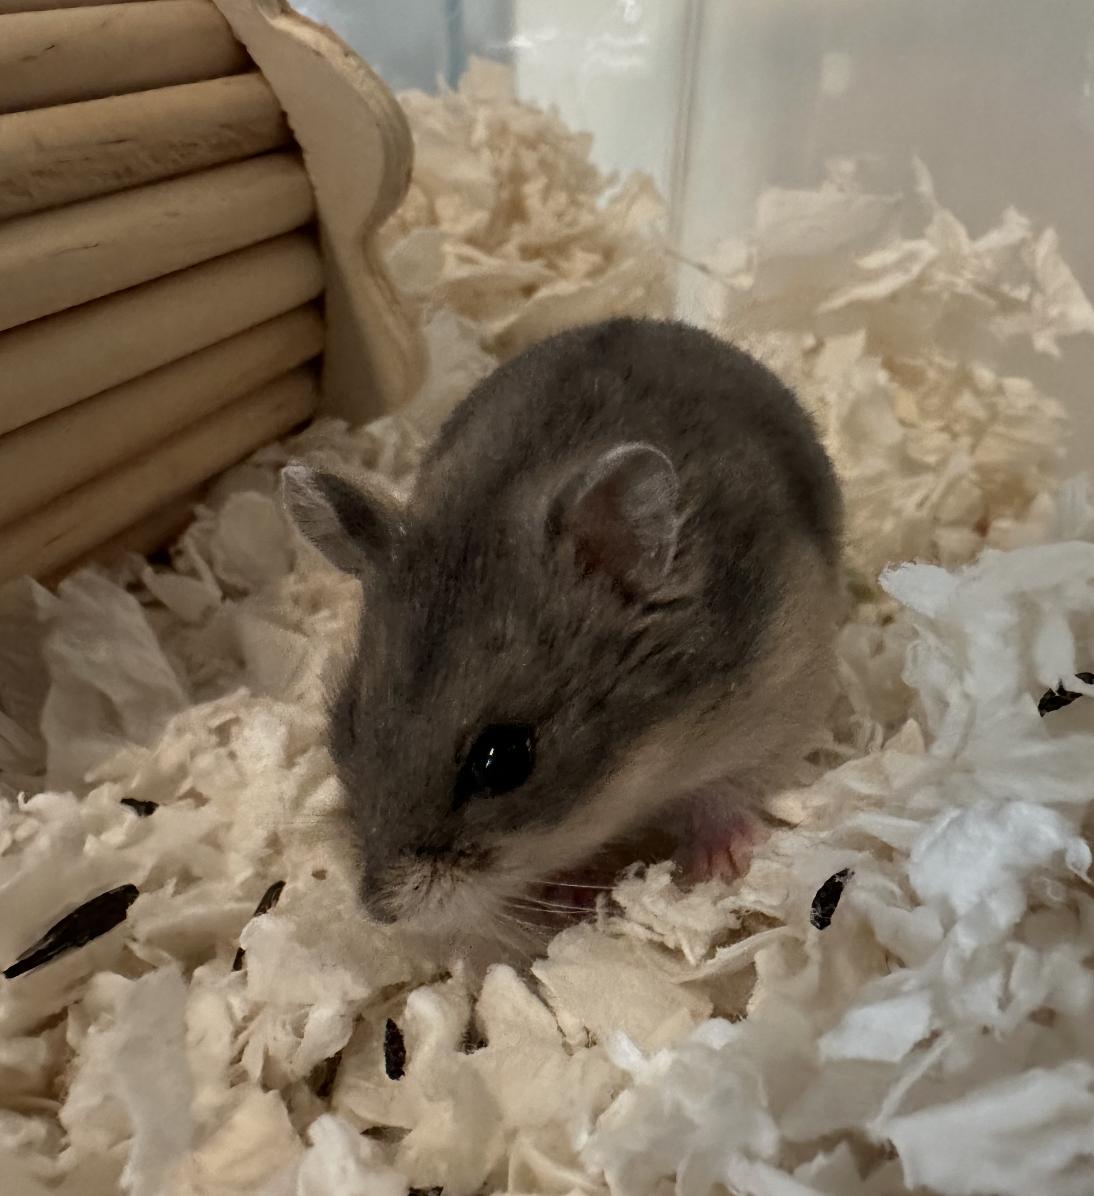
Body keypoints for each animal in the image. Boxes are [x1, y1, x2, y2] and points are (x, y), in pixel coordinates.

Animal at [282, 317, 843, 952]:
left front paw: (721, 866)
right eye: (345, 729)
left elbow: (724, 793)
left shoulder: (777, 693)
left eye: (502, 760)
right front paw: (571, 894)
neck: (657, 749)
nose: (379, 911)